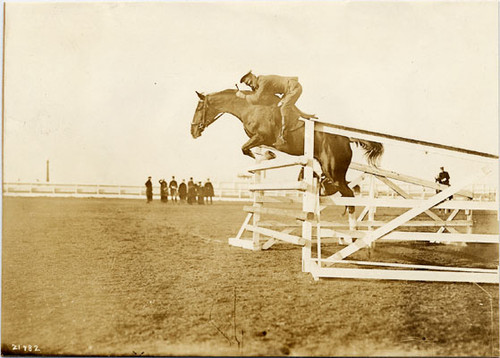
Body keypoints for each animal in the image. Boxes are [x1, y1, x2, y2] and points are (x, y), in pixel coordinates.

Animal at [190, 89, 382, 213]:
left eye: (199, 108)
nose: (193, 132)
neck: (250, 107)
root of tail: (346, 138)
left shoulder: (261, 136)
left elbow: (245, 148)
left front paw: (267, 156)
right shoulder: (260, 139)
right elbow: (252, 149)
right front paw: (267, 155)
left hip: (334, 170)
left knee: (347, 193)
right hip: (331, 170)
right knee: (338, 189)